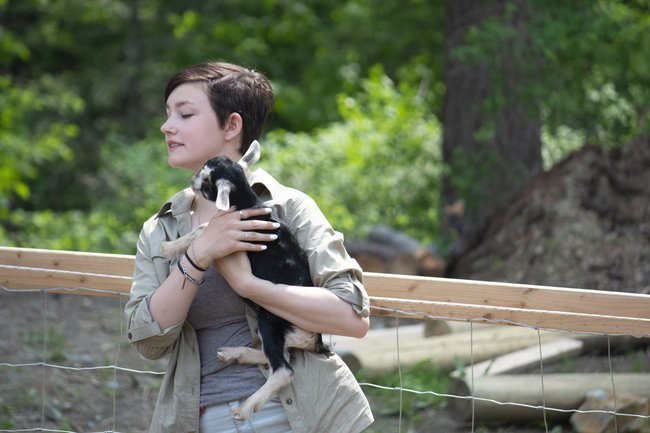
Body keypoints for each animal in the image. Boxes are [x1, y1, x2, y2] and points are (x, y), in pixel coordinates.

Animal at [158, 141, 330, 418]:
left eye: (206, 179)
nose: (192, 180)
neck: (247, 204)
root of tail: (314, 339)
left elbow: (201, 230)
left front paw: (168, 248)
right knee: (279, 356)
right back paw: (234, 354)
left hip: (269, 320)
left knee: (283, 369)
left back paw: (245, 407)